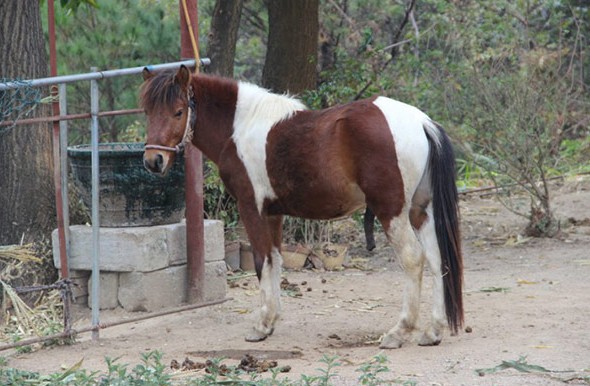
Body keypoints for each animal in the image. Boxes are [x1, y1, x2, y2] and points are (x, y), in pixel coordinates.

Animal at [141, 65, 464, 348]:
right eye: (147, 111)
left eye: (178, 111)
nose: (153, 161)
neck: (239, 127)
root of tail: (421, 122)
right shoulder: (273, 214)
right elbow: (275, 260)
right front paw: (271, 320)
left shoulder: (251, 208)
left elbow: (261, 261)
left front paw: (261, 326)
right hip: (420, 212)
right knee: (437, 259)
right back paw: (433, 331)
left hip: (392, 212)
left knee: (413, 259)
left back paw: (399, 332)